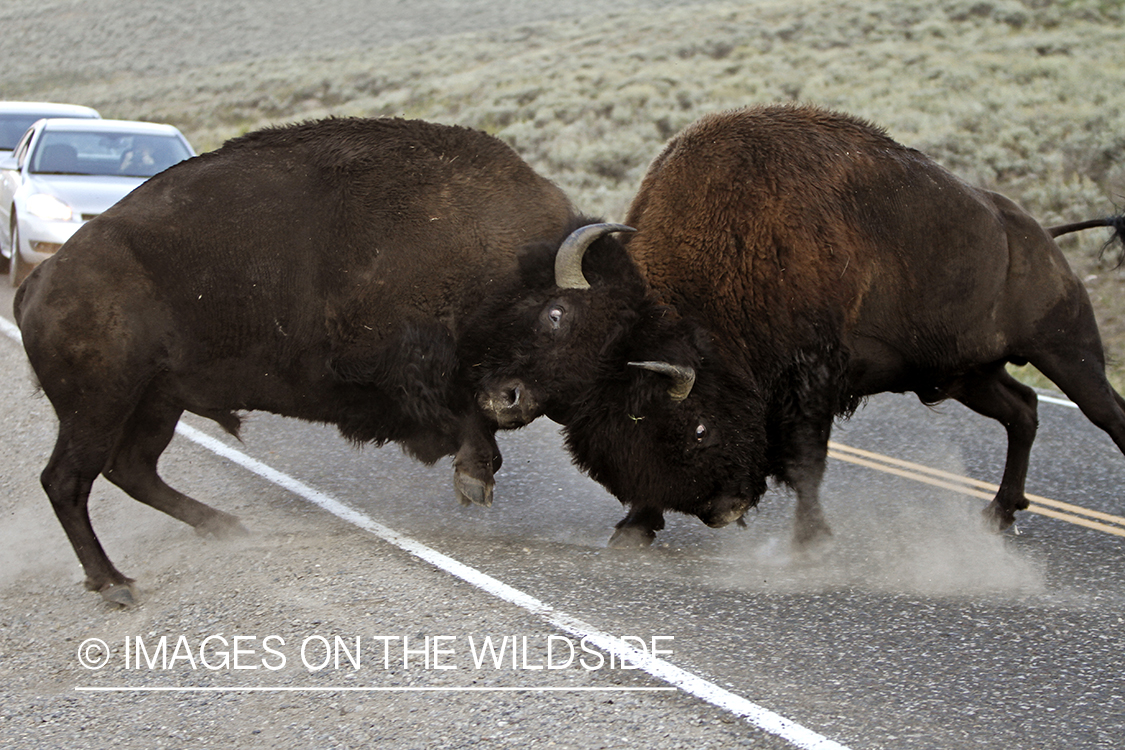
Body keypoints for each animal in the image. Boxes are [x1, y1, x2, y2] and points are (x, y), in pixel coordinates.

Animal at [13, 115, 630, 602]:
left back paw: (226, 527)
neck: (500, 259)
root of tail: (40, 280)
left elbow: (471, 425)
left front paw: (475, 477)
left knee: (131, 469)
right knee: (66, 480)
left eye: (603, 360)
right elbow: (464, 424)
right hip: (99, 404)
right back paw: (116, 584)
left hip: (156, 401)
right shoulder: (398, 372)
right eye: (557, 315)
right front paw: (474, 481)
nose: (514, 401)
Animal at [472, 105, 1125, 548]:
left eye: (558, 316)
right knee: (1023, 411)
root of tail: (1040, 233)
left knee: (1106, 415)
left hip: (1066, 350)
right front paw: (633, 529)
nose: (501, 397)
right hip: (967, 375)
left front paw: (811, 544)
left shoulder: (812, 377)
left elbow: (807, 461)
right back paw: (997, 514)